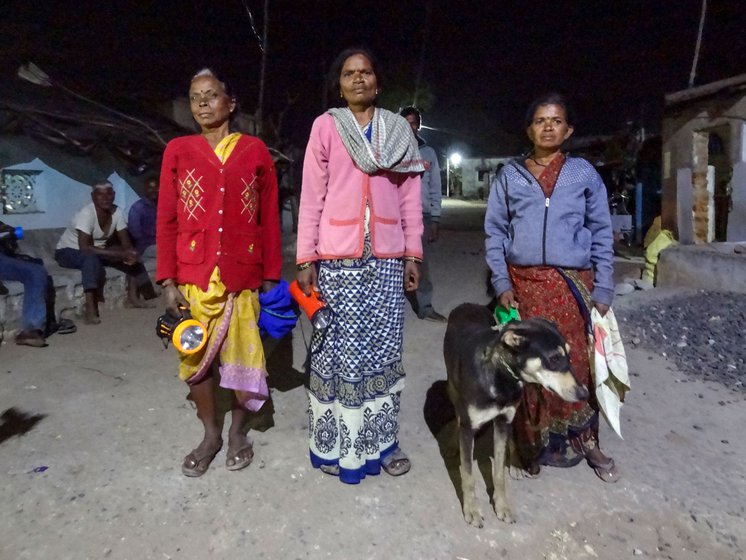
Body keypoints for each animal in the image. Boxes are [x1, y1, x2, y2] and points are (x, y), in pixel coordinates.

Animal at [442, 302, 588, 524]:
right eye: (554, 358)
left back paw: (516, 464)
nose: (584, 393)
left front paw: (502, 506)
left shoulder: (503, 421)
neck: (501, 374)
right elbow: (468, 476)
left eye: (569, 356)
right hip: (451, 386)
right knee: (456, 411)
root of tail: (468, 304)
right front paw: (472, 510)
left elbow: (499, 473)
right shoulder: (468, 427)